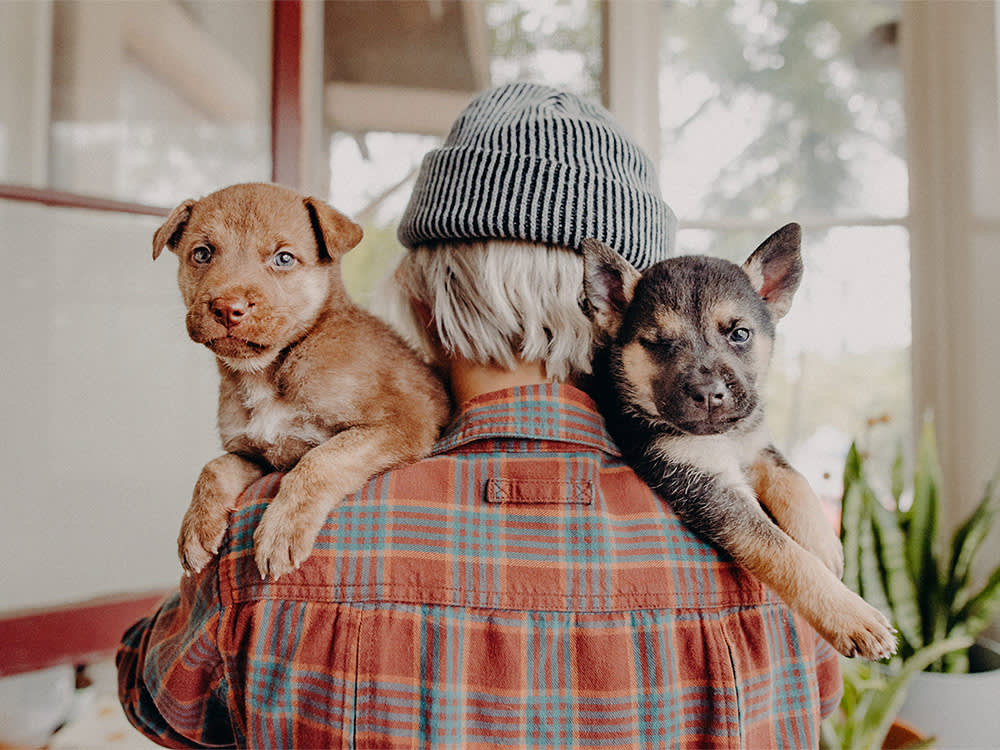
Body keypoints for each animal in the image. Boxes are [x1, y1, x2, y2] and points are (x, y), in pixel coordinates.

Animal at [153, 182, 450, 580]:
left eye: (284, 259)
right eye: (201, 254)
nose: (227, 308)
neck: (266, 371)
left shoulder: (402, 422)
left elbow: (320, 461)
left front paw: (281, 531)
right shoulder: (255, 454)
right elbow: (214, 467)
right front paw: (196, 528)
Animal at [584, 226, 896, 660]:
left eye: (740, 334)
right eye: (661, 344)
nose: (708, 394)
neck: (722, 437)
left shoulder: (756, 445)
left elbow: (794, 480)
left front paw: (823, 543)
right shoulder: (704, 485)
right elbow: (780, 551)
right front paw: (850, 615)